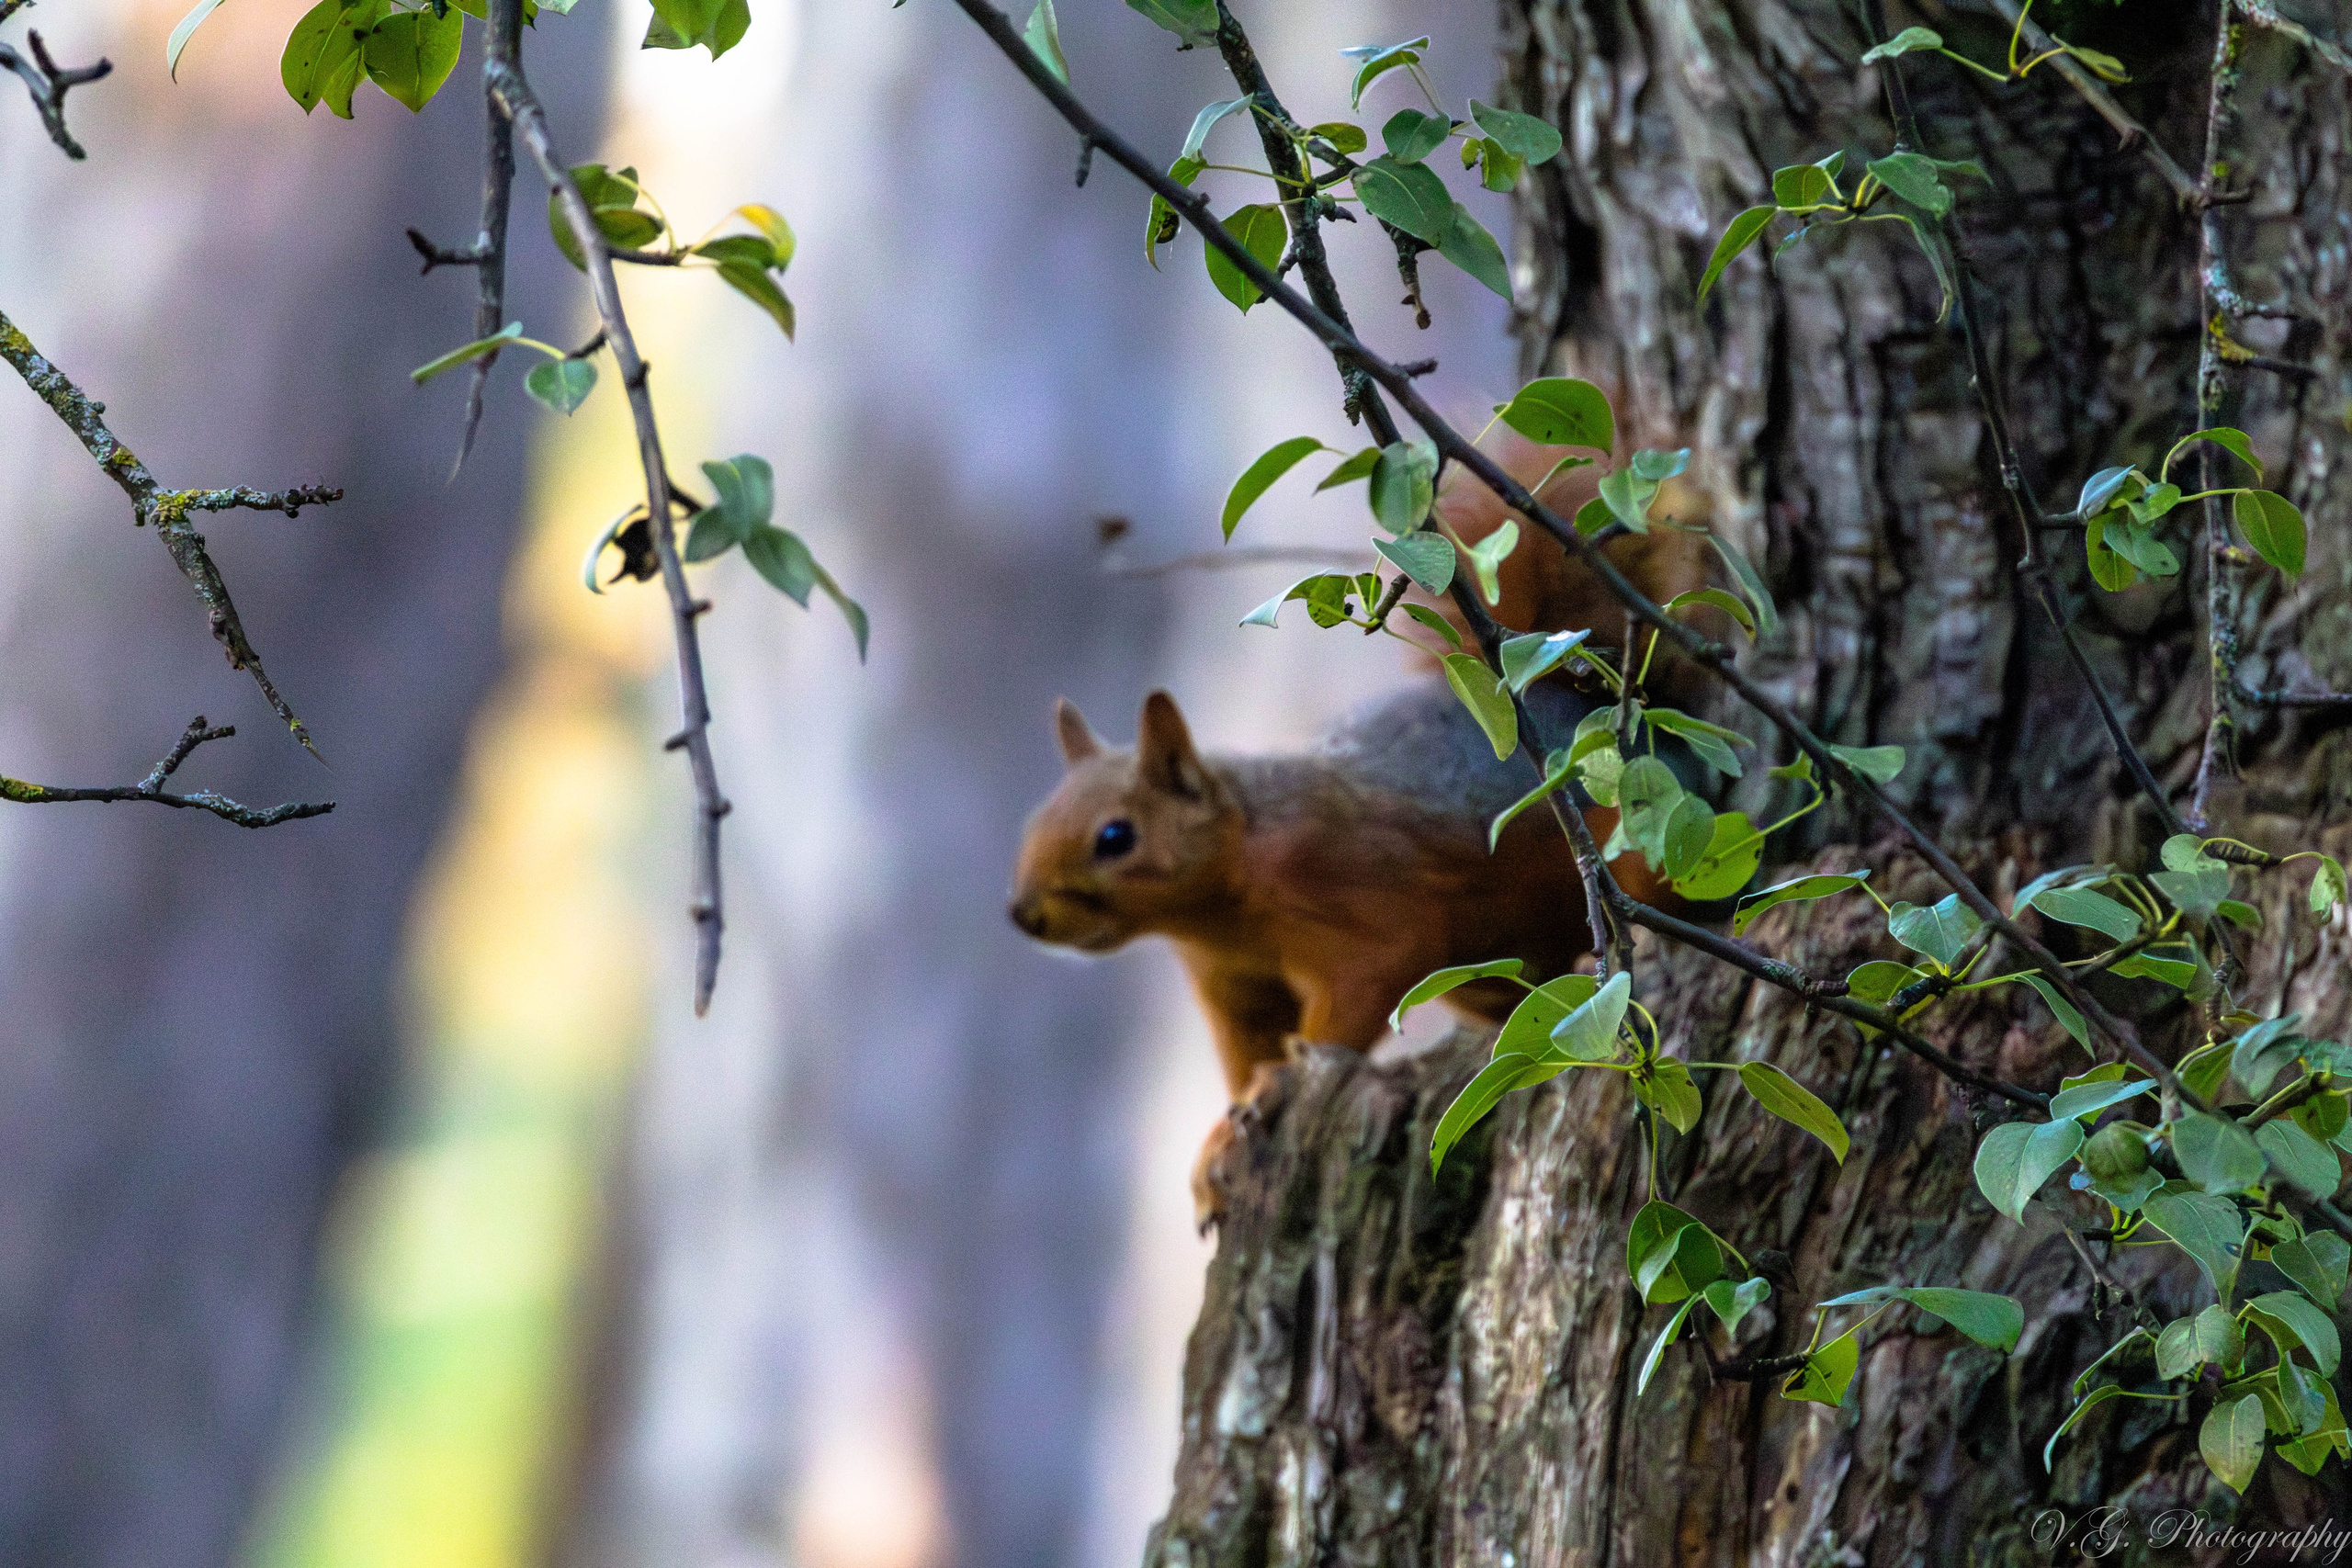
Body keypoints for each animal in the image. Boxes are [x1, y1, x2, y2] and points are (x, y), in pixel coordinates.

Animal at [1007, 437, 1715, 1224]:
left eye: (1115, 837)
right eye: (1032, 824)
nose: (1024, 914)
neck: (1227, 900)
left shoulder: (1352, 900)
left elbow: (1357, 993)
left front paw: (1264, 1094)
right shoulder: (1233, 988)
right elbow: (1246, 1055)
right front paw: (1218, 1142)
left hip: (1647, 851)